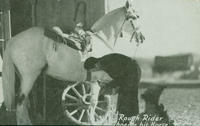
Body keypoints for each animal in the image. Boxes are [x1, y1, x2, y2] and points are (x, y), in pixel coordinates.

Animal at [2, 0, 145, 124]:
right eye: (136, 17)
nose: (142, 37)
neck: (101, 39)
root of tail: (13, 40)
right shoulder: (97, 80)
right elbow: (92, 103)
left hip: (23, 78)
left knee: (23, 103)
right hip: (29, 77)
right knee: (20, 102)